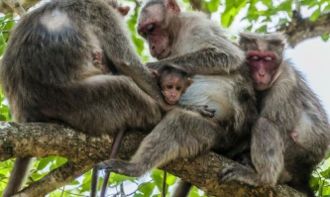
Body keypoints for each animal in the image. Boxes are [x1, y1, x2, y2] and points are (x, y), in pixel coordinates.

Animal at [96, 0, 256, 195]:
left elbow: (228, 55)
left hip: (220, 133)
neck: (177, 34)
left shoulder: (196, 25)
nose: (152, 47)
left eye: (151, 28)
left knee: (179, 123)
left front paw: (154, 65)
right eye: (144, 33)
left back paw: (134, 168)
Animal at [219, 32, 330, 197]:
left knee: (264, 124)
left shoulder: (286, 83)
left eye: (268, 60)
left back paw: (261, 178)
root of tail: (304, 174)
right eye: (255, 58)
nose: (261, 73)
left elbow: (276, 124)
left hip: (293, 157)